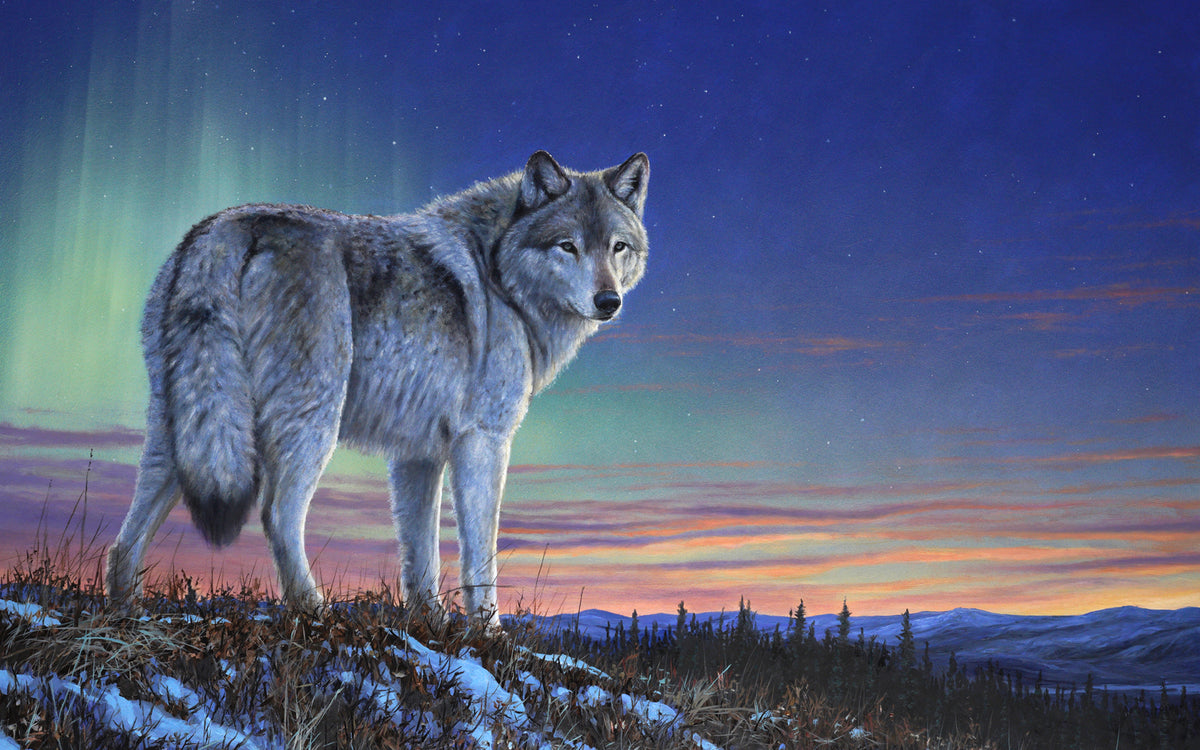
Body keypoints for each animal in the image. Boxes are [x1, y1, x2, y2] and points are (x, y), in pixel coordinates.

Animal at [105, 151, 649, 625]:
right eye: (568, 246)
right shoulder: (484, 440)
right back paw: (315, 612)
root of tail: (227, 228)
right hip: (311, 423)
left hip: (184, 431)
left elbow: (419, 555)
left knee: (125, 538)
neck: (500, 275)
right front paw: (488, 634)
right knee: (277, 514)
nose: (609, 301)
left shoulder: (418, 454)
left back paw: (125, 612)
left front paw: (430, 625)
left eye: (617, 247)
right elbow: (480, 555)